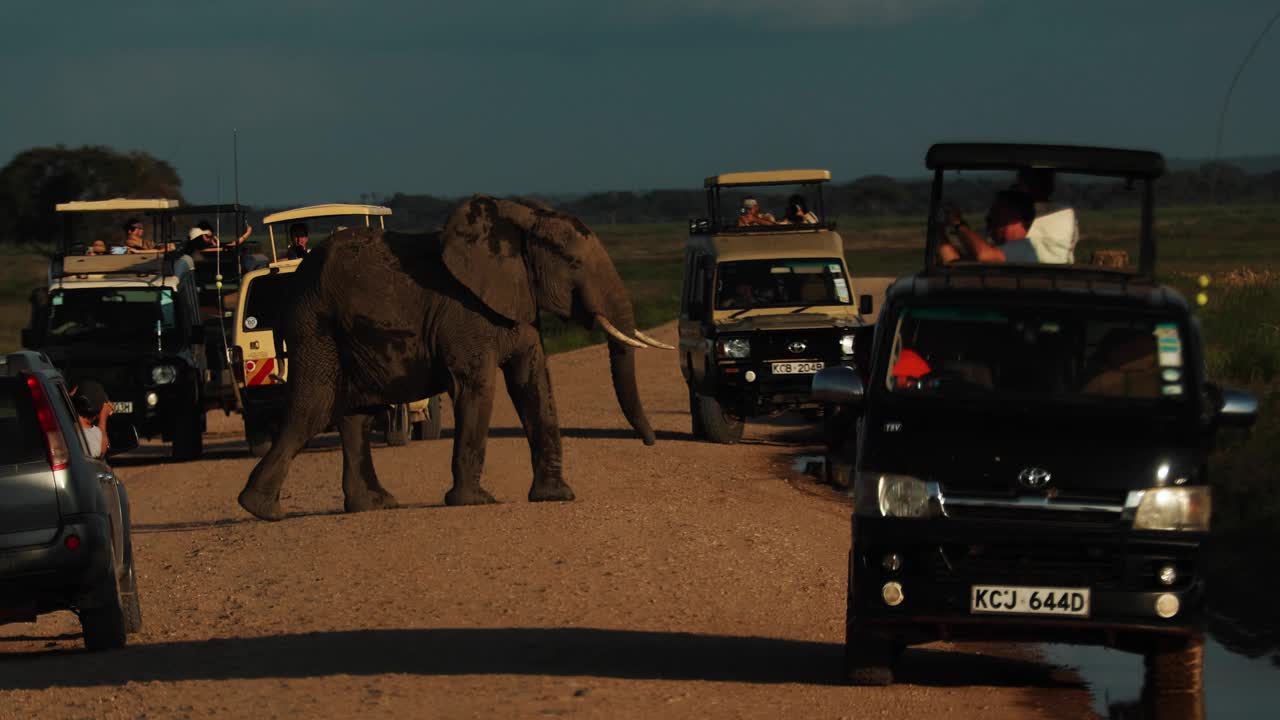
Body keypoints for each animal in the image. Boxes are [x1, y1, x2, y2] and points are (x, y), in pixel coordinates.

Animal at [234, 193, 670, 517]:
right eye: (575, 264)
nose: (651, 444)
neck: (519, 220)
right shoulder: (463, 311)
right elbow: (477, 387)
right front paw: (476, 502)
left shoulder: (519, 303)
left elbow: (533, 384)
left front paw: (556, 496)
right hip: (315, 323)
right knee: (313, 407)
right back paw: (260, 509)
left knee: (355, 413)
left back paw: (373, 505)